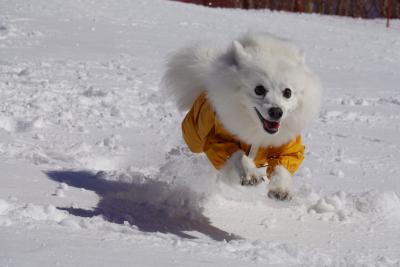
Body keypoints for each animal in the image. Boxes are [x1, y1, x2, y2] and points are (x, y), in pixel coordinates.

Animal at [161, 33, 320, 201]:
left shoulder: (287, 146)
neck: (257, 130)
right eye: (259, 89)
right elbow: (238, 155)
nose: (276, 112)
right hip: (194, 135)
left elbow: (282, 166)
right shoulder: (217, 139)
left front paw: (280, 189)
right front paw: (251, 175)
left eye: (287, 92)